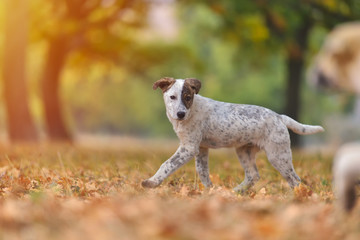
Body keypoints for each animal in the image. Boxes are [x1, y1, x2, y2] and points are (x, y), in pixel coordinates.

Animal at [142, 78, 324, 192]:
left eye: (187, 97)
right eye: (172, 97)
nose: (180, 114)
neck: (191, 111)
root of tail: (279, 117)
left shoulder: (189, 148)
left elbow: (166, 165)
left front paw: (152, 182)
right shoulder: (201, 149)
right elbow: (203, 172)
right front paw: (210, 192)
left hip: (278, 155)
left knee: (295, 179)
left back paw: (297, 197)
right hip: (244, 151)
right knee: (253, 176)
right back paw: (235, 192)